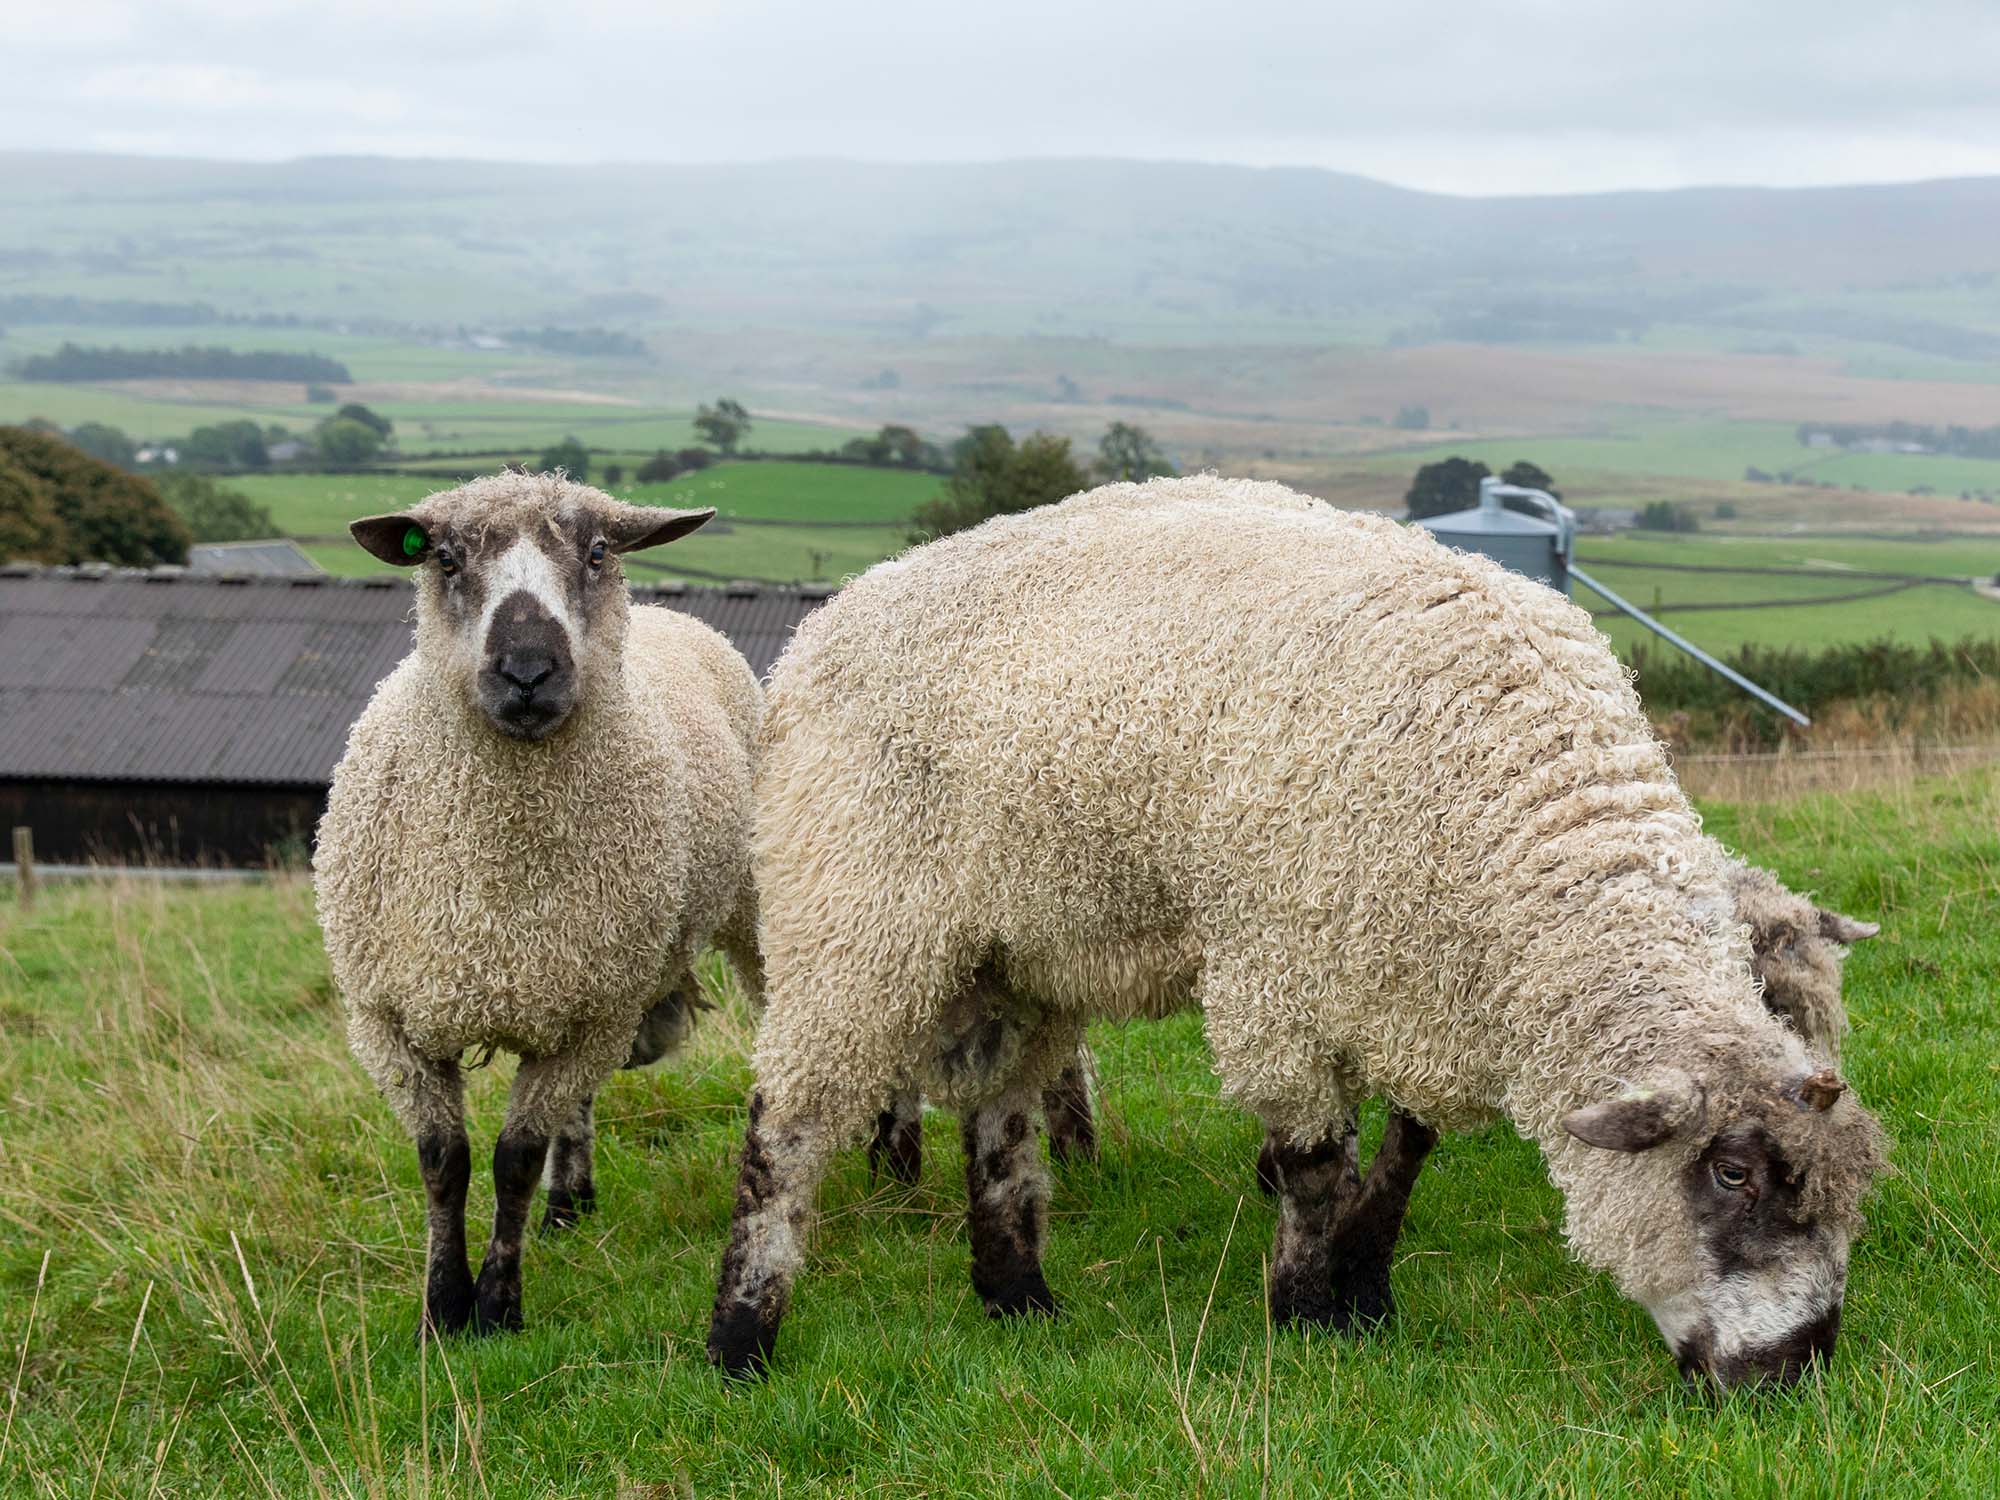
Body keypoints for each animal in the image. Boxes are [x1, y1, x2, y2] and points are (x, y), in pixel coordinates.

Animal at [315, 472, 761, 1339]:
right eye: (445, 559)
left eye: (598, 552)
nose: (527, 670)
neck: (500, 892)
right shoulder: (387, 1018)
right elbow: (443, 1161)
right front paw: (441, 1308)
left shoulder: (594, 1014)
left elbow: (513, 1158)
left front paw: (497, 1307)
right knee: (577, 1104)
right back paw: (569, 1204)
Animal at [705, 474, 1886, 1387]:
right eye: (1731, 1176)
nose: (1794, 1371)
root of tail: (831, 617)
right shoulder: (1283, 969)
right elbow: (1314, 1158)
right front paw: (1309, 1316)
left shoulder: (1421, 982)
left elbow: (1403, 1153)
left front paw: (1365, 1285)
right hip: (852, 904)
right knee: (788, 1123)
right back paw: (740, 1340)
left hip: (1013, 947)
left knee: (998, 1114)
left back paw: (1016, 1296)